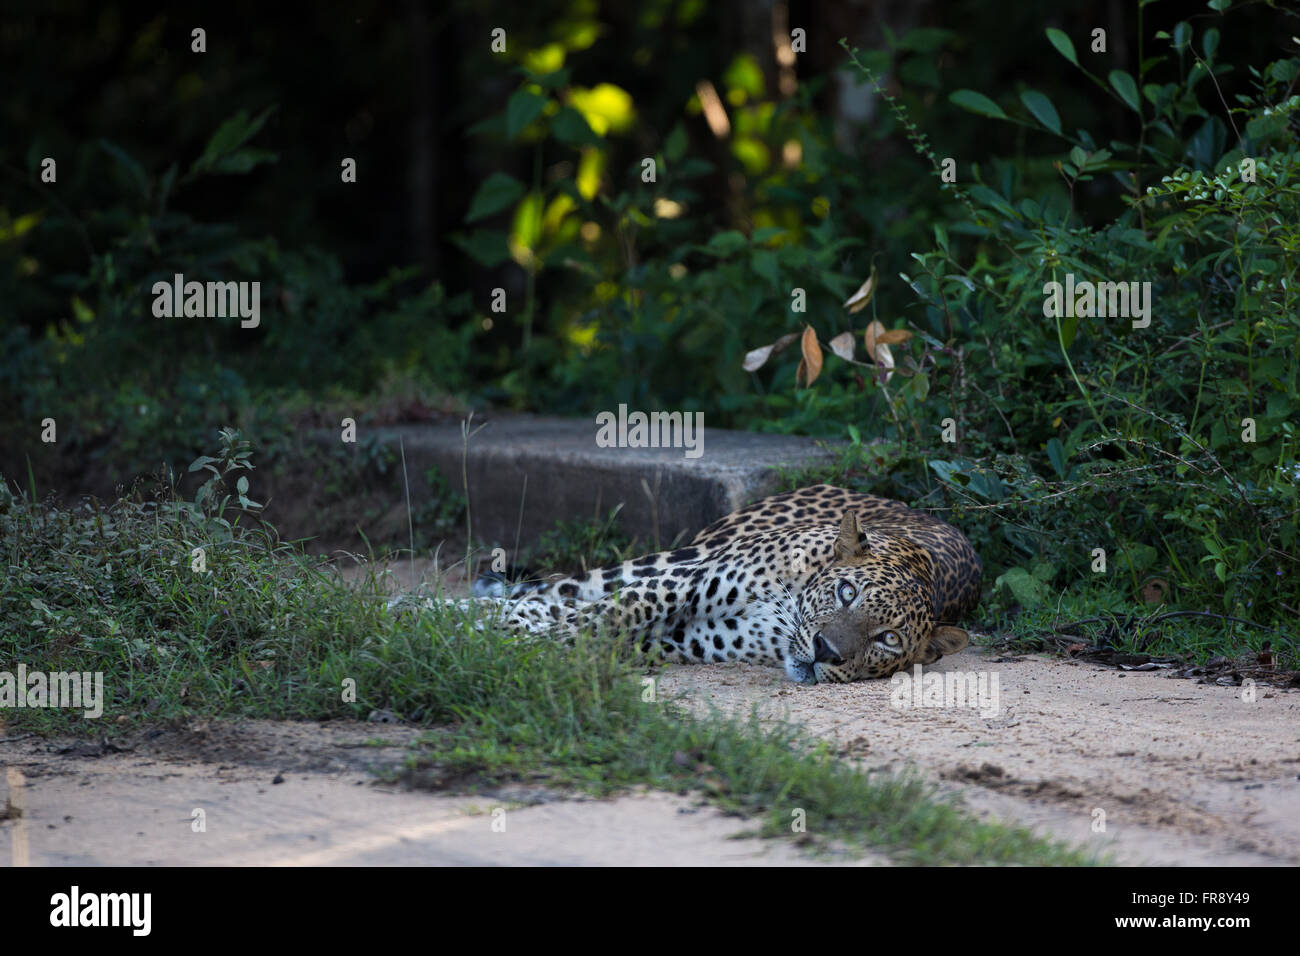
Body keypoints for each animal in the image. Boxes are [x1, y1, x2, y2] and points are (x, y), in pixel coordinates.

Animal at [473, 486, 977, 681]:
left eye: (888, 639)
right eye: (846, 592)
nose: (825, 651)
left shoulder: (689, 638)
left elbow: (607, 628)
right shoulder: (686, 583)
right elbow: (617, 608)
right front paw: (528, 641)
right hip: (687, 554)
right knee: (563, 589)